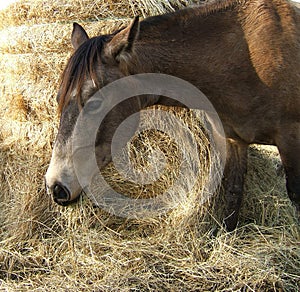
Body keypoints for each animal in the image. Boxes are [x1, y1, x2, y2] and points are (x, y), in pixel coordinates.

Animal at [45, 0, 300, 232]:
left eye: (95, 103)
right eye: (58, 99)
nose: (55, 186)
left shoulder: (291, 140)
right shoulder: (234, 140)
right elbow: (233, 194)